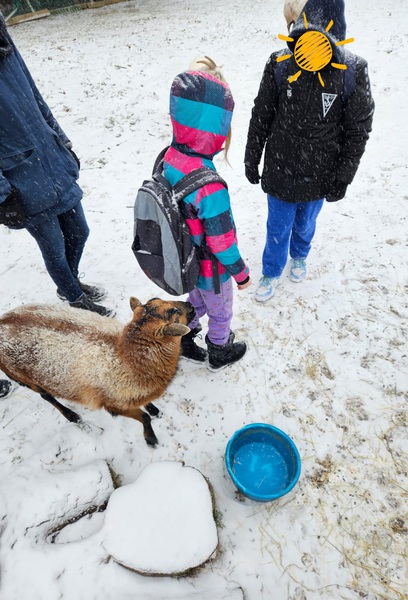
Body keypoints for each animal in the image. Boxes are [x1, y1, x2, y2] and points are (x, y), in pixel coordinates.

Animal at [0, 297, 194, 447]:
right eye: (175, 312)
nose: (191, 305)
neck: (128, 358)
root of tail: (2, 321)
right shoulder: (112, 404)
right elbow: (145, 418)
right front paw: (151, 440)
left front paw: (154, 409)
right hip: (25, 378)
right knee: (46, 396)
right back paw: (72, 416)